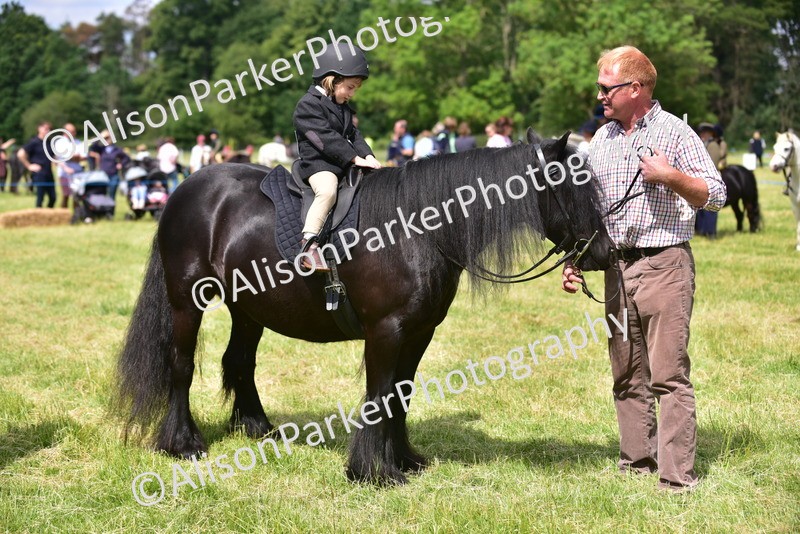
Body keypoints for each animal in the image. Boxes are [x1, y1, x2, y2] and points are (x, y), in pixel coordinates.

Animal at [114, 129, 614, 485]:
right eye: (575, 186)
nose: (605, 252)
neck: (416, 230)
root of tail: (186, 189)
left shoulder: (420, 331)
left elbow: (400, 394)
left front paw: (405, 460)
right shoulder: (385, 331)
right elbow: (380, 394)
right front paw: (372, 471)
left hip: (249, 310)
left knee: (238, 361)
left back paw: (257, 427)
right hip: (186, 301)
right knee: (180, 365)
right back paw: (182, 443)